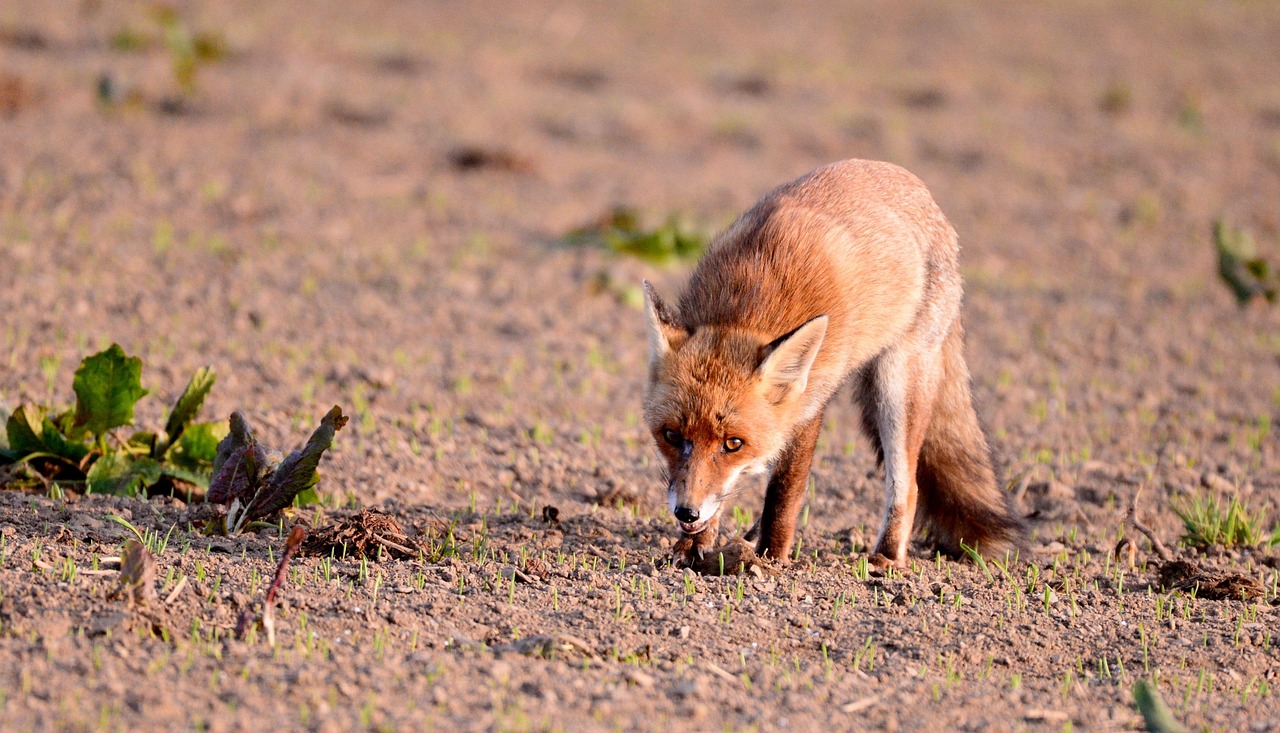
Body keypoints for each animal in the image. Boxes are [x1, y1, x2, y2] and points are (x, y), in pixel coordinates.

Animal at [642, 158, 1024, 569]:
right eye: (671, 435)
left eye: (733, 443)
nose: (686, 512)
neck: (746, 305)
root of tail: (914, 185)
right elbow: (727, 494)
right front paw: (696, 546)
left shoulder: (809, 403)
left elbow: (783, 494)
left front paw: (770, 560)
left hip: (896, 387)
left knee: (909, 486)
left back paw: (886, 558)